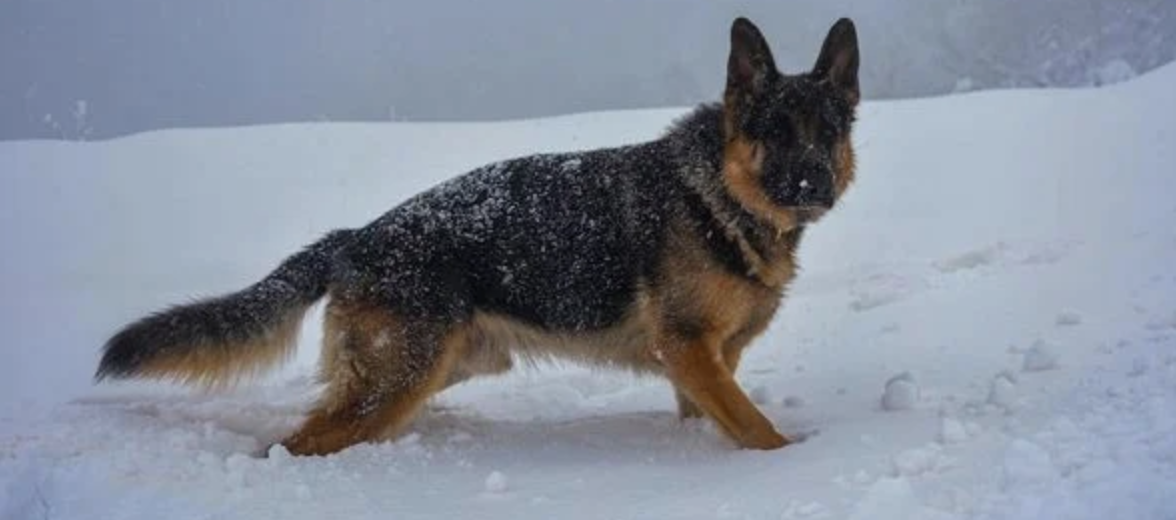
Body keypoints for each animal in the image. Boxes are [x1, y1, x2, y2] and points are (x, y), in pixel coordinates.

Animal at [96, 17, 860, 454]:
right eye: (774, 133)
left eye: (828, 132)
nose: (811, 184)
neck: (719, 194)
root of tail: (353, 238)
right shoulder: (687, 350)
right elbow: (756, 430)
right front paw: (793, 462)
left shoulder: (705, 363)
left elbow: (715, 417)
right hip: (401, 376)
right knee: (295, 444)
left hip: (442, 367)